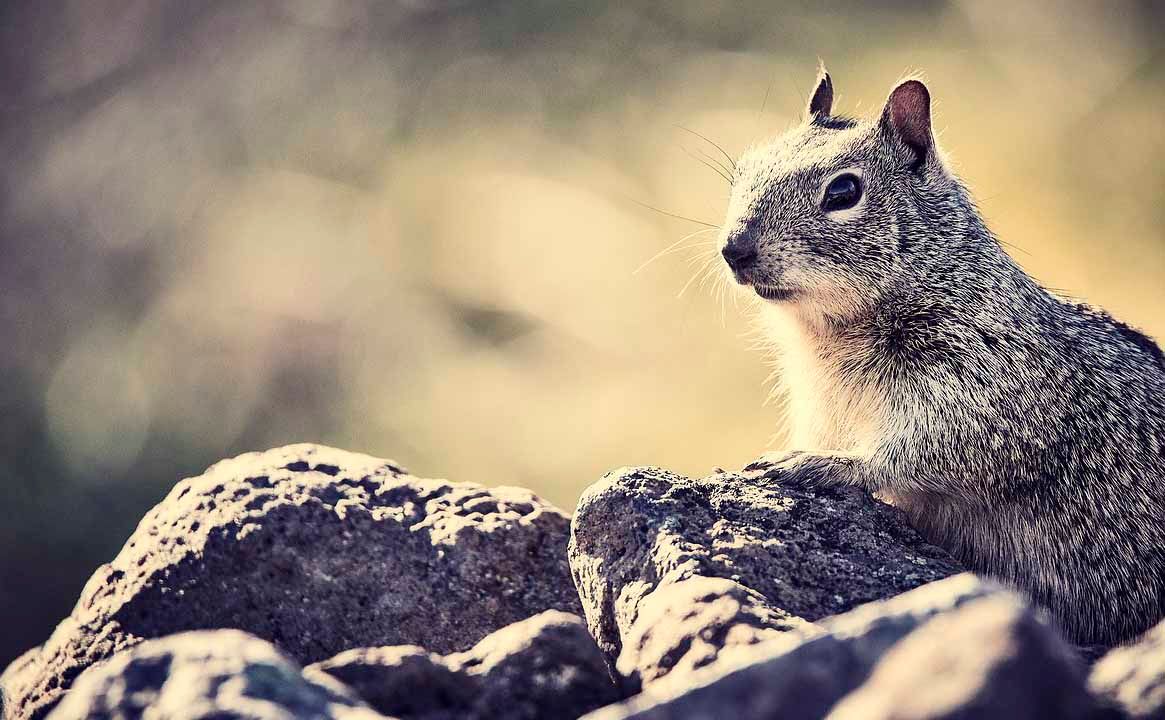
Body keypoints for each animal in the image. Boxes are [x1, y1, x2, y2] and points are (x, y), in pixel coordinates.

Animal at [720, 66, 1165, 649]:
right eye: (742, 170)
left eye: (843, 190)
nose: (733, 248)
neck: (830, 334)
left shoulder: (986, 392)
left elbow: (925, 454)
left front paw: (818, 464)